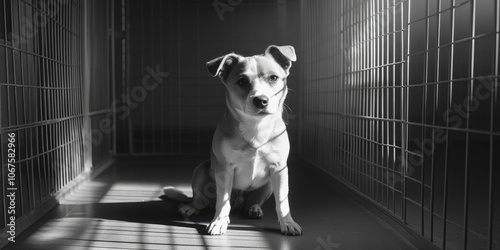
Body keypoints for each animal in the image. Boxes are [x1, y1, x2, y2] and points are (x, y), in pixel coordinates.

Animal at [164, 45, 300, 236]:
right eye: (242, 81)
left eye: (273, 78)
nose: (261, 100)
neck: (255, 128)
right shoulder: (224, 170)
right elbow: (222, 201)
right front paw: (219, 221)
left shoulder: (279, 169)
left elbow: (282, 201)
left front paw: (288, 223)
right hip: (200, 171)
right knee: (202, 202)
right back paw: (191, 207)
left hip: (268, 185)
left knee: (252, 202)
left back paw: (254, 209)